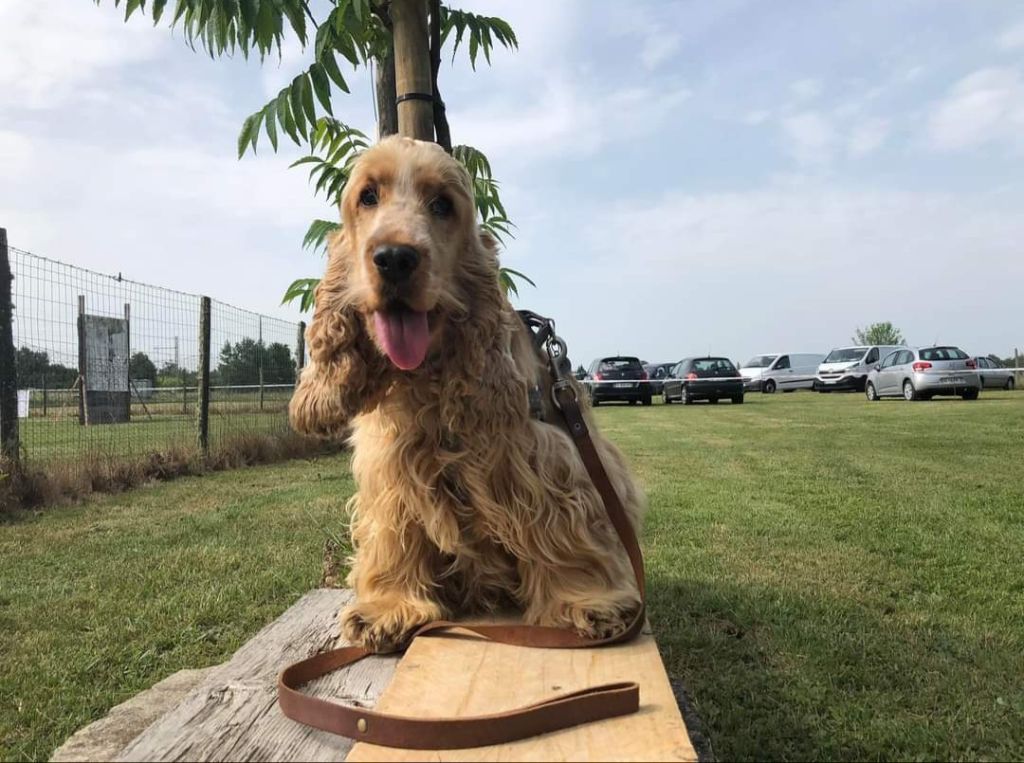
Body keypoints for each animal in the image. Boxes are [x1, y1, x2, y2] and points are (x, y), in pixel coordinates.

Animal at [290, 135, 638, 647]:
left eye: (442, 205)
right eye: (367, 196)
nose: (395, 258)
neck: (429, 374)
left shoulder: (544, 455)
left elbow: (560, 529)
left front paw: (586, 602)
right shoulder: (390, 465)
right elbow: (393, 534)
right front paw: (388, 607)